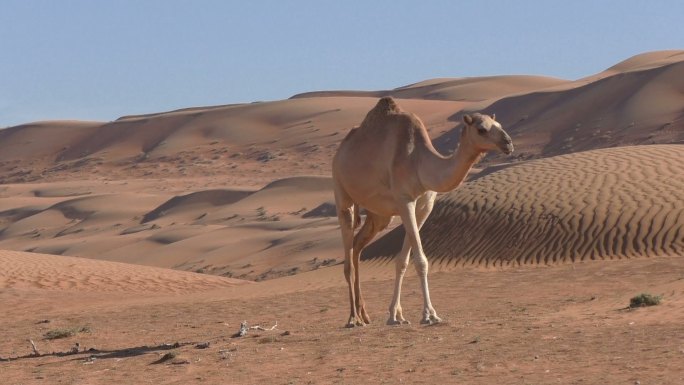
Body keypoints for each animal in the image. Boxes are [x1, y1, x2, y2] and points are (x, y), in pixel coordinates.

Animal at [332, 97, 512, 328]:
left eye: (499, 125)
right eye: (482, 129)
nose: (508, 143)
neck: (419, 162)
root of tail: (340, 152)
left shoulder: (425, 206)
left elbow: (402, 261)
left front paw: (396, 315)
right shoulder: (405, 201)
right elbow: (420, 260)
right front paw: (429, 314)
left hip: (379, 215)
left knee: (357, 246)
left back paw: (365, 314)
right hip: (342, 191)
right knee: (348, 255)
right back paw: (353, 318)